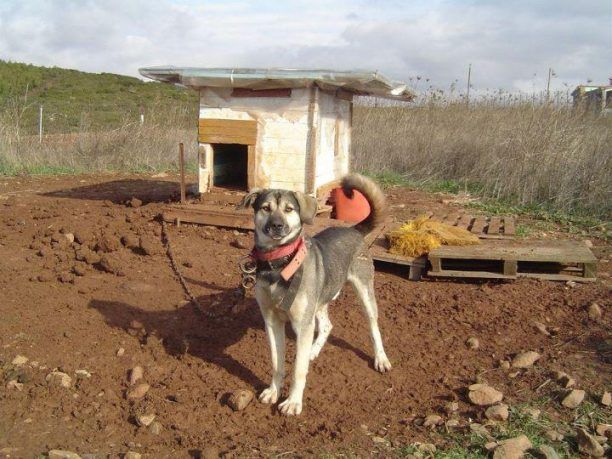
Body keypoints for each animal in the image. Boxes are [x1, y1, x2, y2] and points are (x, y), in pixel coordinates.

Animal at [239, 173, 392, 416]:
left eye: (289, 209)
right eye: (265, 208)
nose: (276, 225)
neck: (279, 264)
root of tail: (354, 229)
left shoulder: (302, 324)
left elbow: (298, 370)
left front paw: (293, 402)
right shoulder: (272, 322)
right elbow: (276, 363)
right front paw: (273, 391)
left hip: (364, 293)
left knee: (374, 328)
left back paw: (380, 358)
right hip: (319, 300)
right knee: (327, 325)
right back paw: (313, 350)